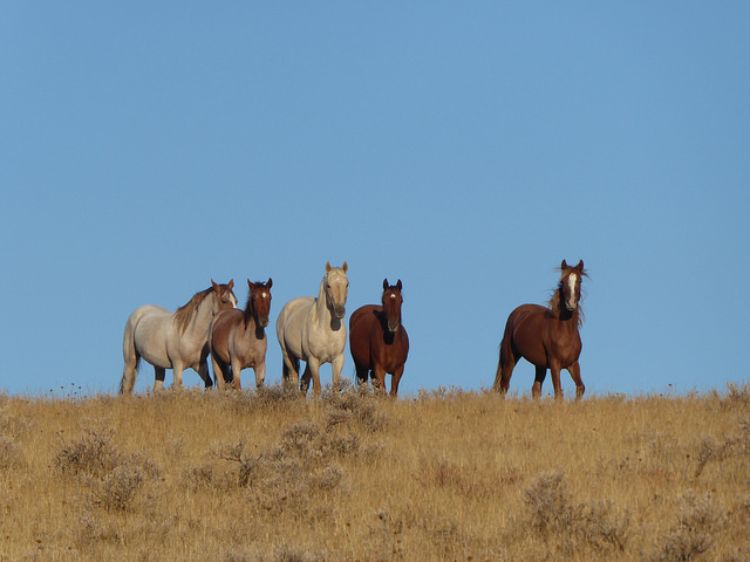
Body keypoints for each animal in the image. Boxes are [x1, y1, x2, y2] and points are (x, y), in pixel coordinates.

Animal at [278, 260, 352, 394]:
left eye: (347, 284)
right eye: (328, 285)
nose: (340, 311)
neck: (327, 331)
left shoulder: (338, 359)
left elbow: (335, 387)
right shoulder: (314, 360)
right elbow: (317, 388)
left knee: (304, 381)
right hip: (287, 354)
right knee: (294, 378)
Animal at [496, 260, 592, 400]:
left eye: (580, 280)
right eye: (562, 281)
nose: (571, 304)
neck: (564, 333)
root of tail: (517, 312)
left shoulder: (573, 364)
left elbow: (580, 388)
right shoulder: (555, 364)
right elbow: (558, 393)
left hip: (540, 365)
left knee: (535, 389)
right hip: (511, 357)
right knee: (504, 386)